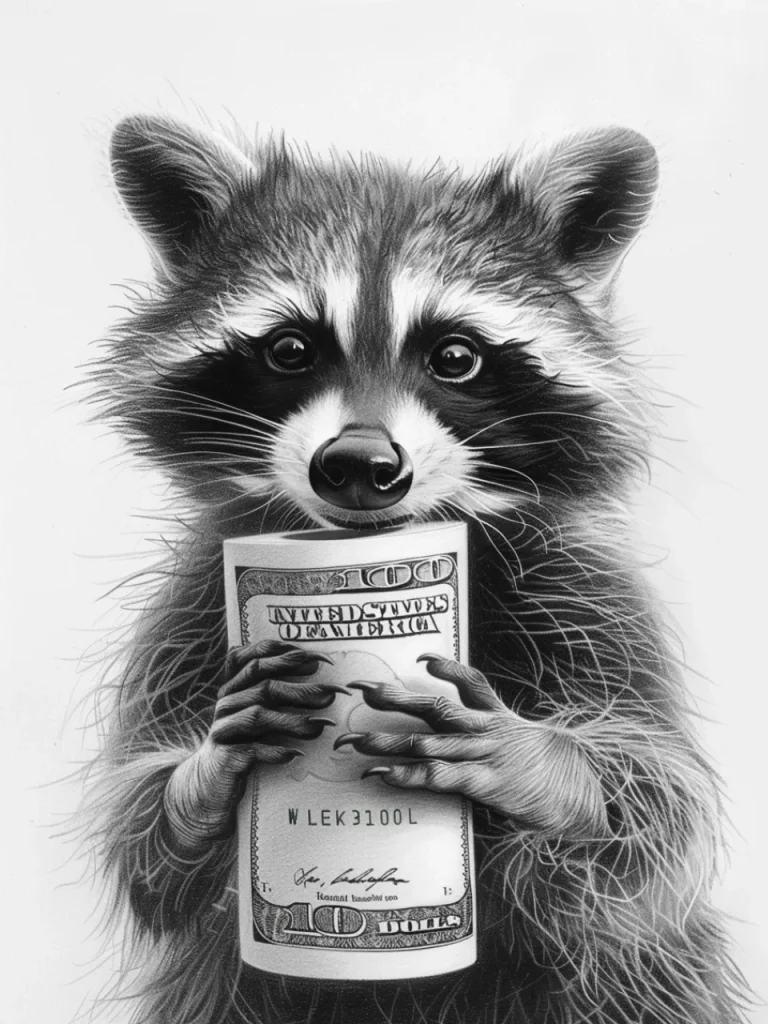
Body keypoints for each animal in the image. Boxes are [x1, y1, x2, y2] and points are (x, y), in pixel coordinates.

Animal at [82, 115, 749, 1023]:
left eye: (455, 356)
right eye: (290, 348)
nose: (359, 465)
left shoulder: (589, 595)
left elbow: (657, 808)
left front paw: (547, 770)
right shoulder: (188, 612)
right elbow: (139, 838)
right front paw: (204, 774)